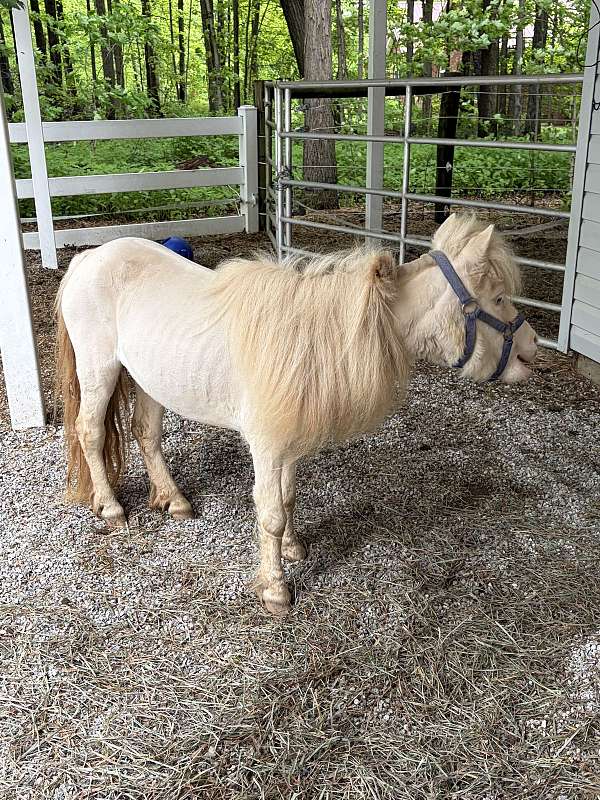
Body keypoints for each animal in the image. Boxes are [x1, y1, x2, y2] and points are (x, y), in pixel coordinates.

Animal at [55, 213, 538, 615]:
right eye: (497, 298)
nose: (531, 349)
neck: (320, 339)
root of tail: (88, 258)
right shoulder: (268, 446)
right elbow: (269, 512)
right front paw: (274, 588)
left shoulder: (288, 443)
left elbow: (287, 501)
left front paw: (291, 549)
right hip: (99, 369)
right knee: (91, 432)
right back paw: (111, 507)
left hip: (148, 379)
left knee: (146, 432)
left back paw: (174, 500)